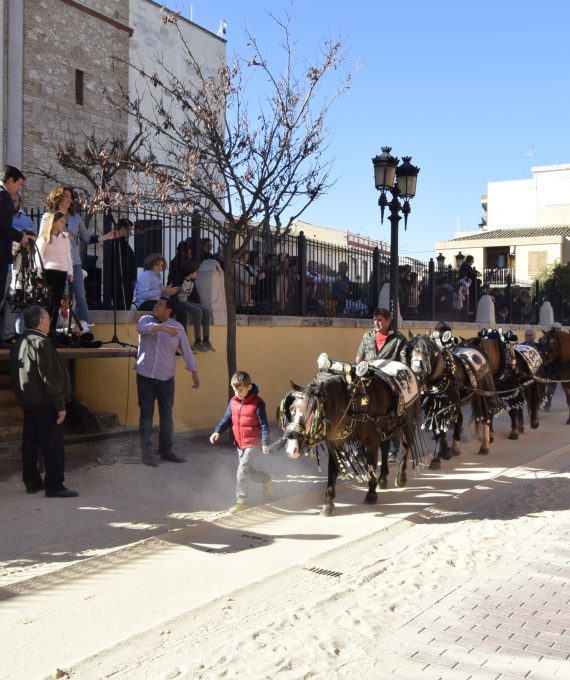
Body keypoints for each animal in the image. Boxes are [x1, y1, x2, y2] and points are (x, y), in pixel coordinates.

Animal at [278, 356, 420, 516]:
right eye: (291, 409)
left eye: (312, 413)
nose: (292, 448)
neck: (354, 400)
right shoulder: (336, 441)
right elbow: (333, 470)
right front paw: (328, 503)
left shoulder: (371, 440)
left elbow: (371, 464)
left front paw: (371, 493)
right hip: (386, 426)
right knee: (385, 448)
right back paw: (383, 479)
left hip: (408, 422)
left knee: (407, 446)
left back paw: (401, 476)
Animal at [406, 330, 494, 468]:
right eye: (410, 348)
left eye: (430, 350)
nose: (417, 368)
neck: (443, 372)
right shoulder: (434, 406)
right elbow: (438, 430)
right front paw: (445, 451)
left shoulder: (446, 406)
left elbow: (441, 432)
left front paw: (437, 458)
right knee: (460, 419)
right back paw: (456, 447)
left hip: (483, 394)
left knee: (486, 416)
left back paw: (484, 446)